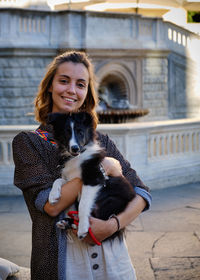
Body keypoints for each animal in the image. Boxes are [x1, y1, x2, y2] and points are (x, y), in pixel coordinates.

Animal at [48, 111, 136, 241]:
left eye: (80, 132)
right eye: (66, 133)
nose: (75, 148)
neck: (78, 156)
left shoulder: (94, 178)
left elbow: (84, 205)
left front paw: (83, 228)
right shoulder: (71, 178)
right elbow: (58, 180)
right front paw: (53, 195)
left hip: (113, 201)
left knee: (97, 216)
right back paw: (67, 223)